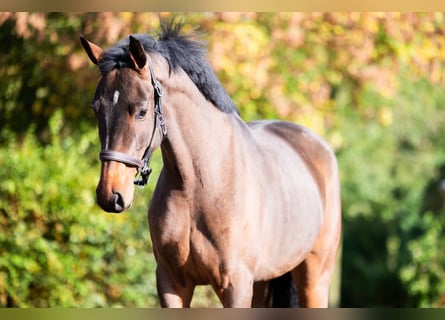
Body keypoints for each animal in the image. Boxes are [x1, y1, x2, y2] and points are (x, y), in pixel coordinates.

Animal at [80, 21, 340, 308]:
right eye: (96, 109)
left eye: (141, 111)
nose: (110, 195)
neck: (199, 185)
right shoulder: (172, 283)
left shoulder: (236, 285)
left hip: (314, 279)